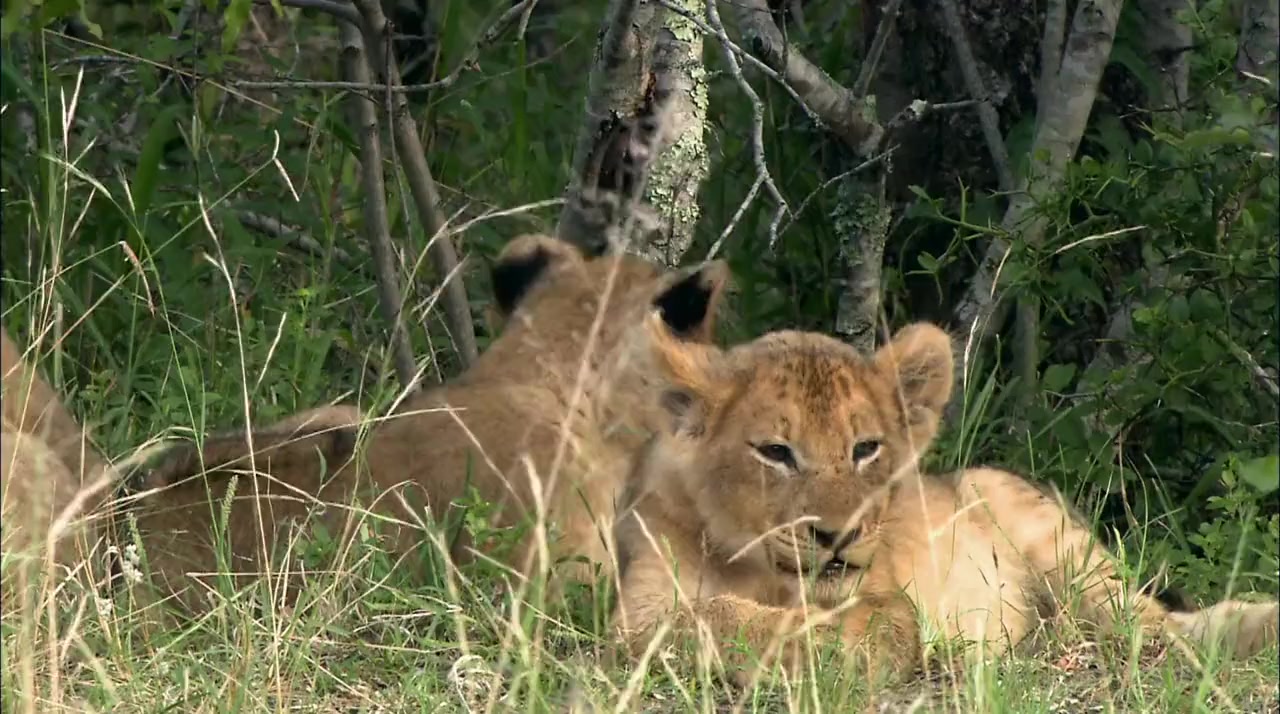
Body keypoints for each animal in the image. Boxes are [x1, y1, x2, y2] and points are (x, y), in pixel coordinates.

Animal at [612, 313, 1279, 684]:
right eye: (776, 452)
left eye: (866, 449)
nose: (838, 535)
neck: (756, 567)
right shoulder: (635, 610)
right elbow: (704, 615)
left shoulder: (882, 597)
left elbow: (868, 624)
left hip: (1034, 523)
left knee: (1150, 625)